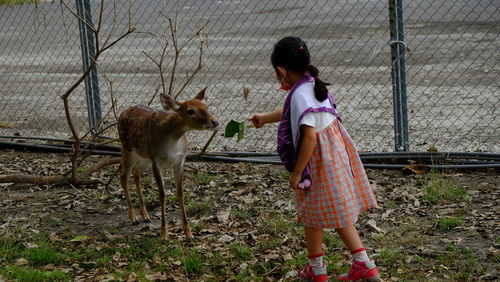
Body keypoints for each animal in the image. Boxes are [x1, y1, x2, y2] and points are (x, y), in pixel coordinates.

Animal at [119, 87, 219, 238]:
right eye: (190, 111)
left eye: (206, 106)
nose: (215, 121)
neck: (172, 140)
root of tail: (123, 112)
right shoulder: (156, 160)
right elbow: (162, 194)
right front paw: (163, 233)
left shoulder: (180, 160)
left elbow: (180, 193)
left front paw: (188, 233)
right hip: (127, 148)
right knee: (123, 175)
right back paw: (134, 218)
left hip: (144, 157)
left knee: (136, 172)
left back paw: (145, 216)